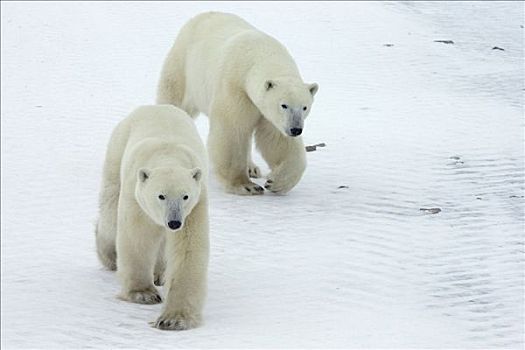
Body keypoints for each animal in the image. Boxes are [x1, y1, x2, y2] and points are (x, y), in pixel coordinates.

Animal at [94, 104, 209, 330]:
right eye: (161, 196)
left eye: (185, 196)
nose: (174, 222)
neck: (168, 153)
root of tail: (155, 106)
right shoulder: (137, 197)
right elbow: (138, 238)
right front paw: (143, 294)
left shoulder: (195, 207)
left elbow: (189, 249)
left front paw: (173, 319)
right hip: (117, 150)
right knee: (110, 215)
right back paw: (110, 257)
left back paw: (159, 273)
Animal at [158, 10, 318, 196]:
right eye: (284, 105)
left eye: (305, 107)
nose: (295, 129)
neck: (260, 54)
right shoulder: (235, 86)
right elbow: (233, 130)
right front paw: (246, 185)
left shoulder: (267, 112)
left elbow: (276, 138)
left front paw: (276, 182)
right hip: (183, 68)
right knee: (173, 102)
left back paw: (252, 168)